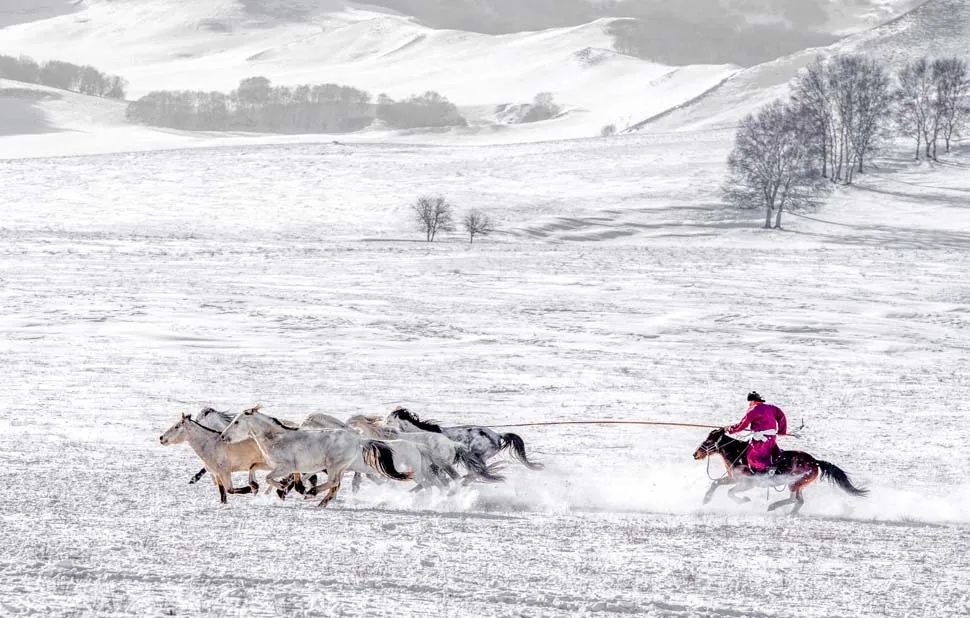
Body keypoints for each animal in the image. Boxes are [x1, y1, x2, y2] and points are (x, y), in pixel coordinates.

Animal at [221, 404, 410, 506]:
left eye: (236, 422)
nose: (223, 436)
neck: (276, 438)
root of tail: (358, 438)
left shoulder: (285, 467)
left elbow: (269, 478)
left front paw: (283, 487)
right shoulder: (273, 464)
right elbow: (253, 467)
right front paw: (255, 486)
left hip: (334, 465)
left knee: (333, 483)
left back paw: (312, 493)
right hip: (341, 468)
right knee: (335, 486)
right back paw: (320, 502)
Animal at [692, 426, 864, 512]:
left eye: (708, 441)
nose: (695, 454)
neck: (737, 452)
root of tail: (815, 462)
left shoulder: (747, 483)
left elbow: (730, 492)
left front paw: (744, 500)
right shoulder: (734, 478)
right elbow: (716, 483)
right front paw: (706, 499)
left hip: (794, 483)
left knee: (794, 499)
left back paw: (773, 507)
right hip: (798, 485)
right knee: (799, 501)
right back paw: (790, 514)